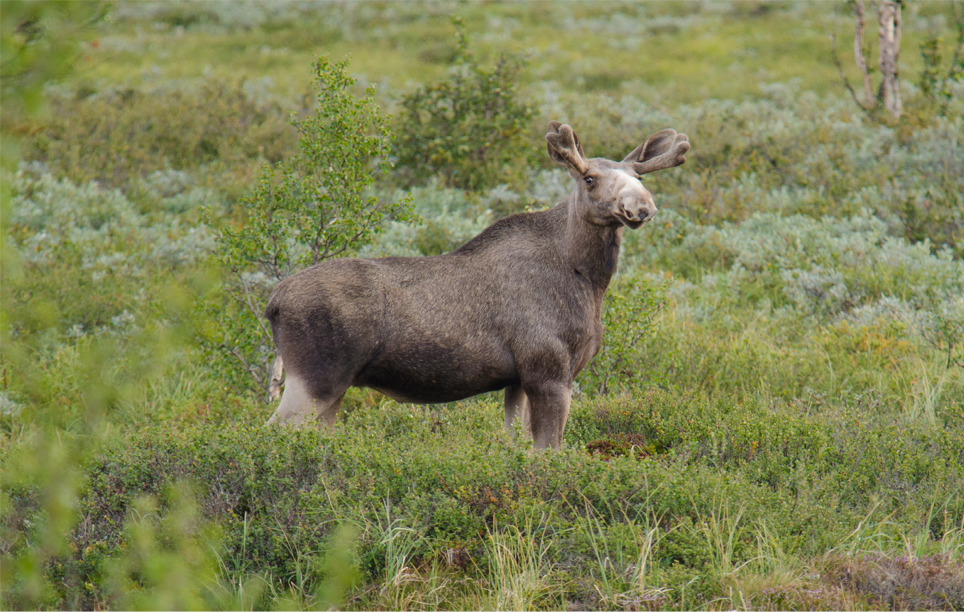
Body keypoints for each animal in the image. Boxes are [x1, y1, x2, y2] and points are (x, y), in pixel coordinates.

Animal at [260, 123, 688, 450]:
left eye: (639, 177)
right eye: (590, 178)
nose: (642, 206)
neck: (588, 279)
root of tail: (273, 303)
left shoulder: (518, 380)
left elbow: (517, 442)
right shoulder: (549, 370)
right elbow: (549, 450)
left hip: (334, 388)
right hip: (316, 377)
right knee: (272, 432)